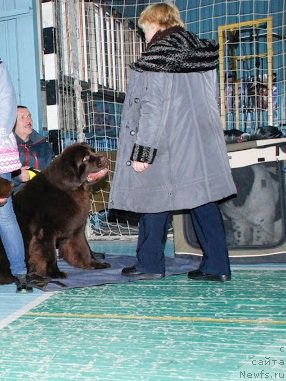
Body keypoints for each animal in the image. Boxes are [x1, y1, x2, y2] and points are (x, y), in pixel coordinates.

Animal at [0, 140, 110, 282]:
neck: (70, 190)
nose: (104, 158)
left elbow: (84, 248)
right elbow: (50, 255)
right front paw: (55, 273)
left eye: (94, 151)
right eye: (85, 158)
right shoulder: (46, 232)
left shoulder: (76, 230)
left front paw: (93, 264)